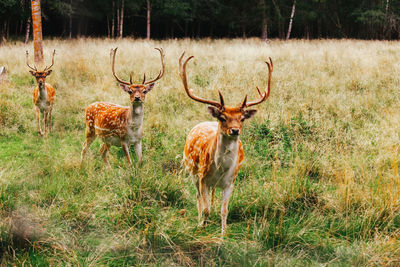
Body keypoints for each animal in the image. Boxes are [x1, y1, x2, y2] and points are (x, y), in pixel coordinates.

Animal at [180, 52, 274, 237]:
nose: (235, 130)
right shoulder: (202, 178)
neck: (220, 169)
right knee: (198, 198)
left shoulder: (230, 182)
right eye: (223, 118)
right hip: (191, 170)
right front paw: (202, 225)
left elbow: (224, 210)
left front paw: (224, 234)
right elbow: (206, 208)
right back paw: (199, 220)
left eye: (242, 118)